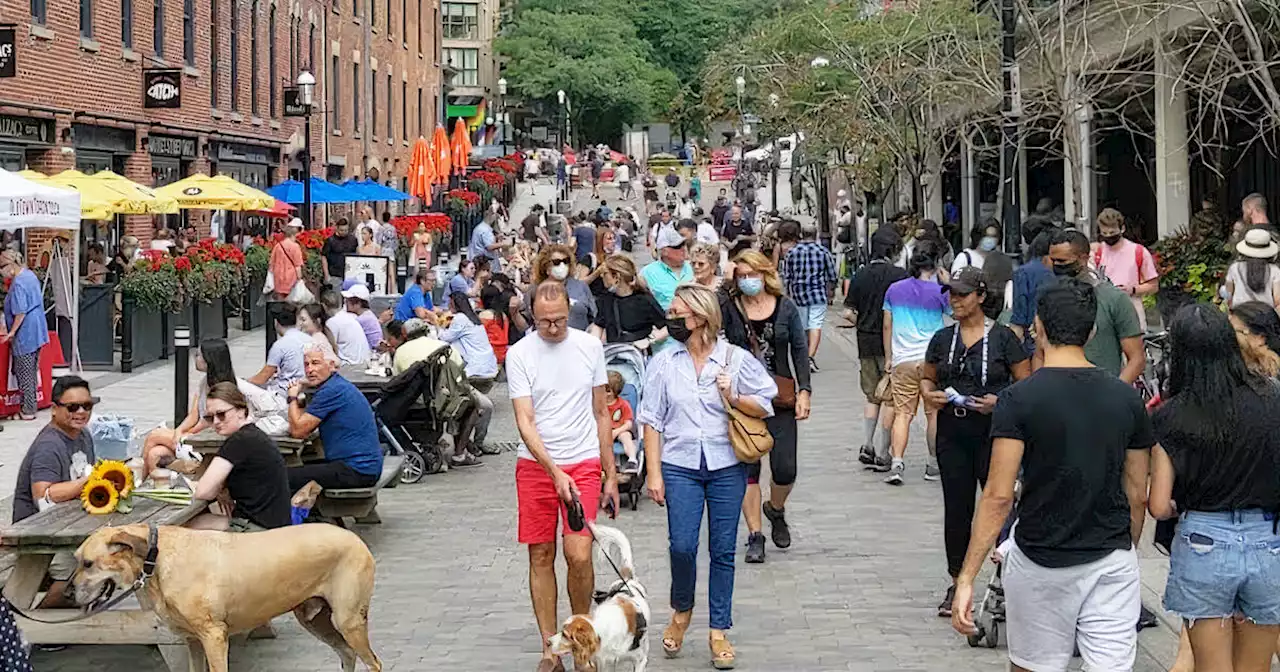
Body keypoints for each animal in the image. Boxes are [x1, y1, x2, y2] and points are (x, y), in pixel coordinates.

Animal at [66, 524, 378, 670]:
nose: (67, 593)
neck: (156, 560)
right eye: (76, 560)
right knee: (347, 654)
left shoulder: (214, 637)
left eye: (88, 563)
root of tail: (355, 539)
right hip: (315, 620)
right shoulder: (192, 641)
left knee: (372, 662)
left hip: (347, 620)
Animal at [547, 524, 650, 670]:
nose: (548, 642)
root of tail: (626, 580)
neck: (601, 630)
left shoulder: (640, 660)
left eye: (565, 635)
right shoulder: (603, 662)